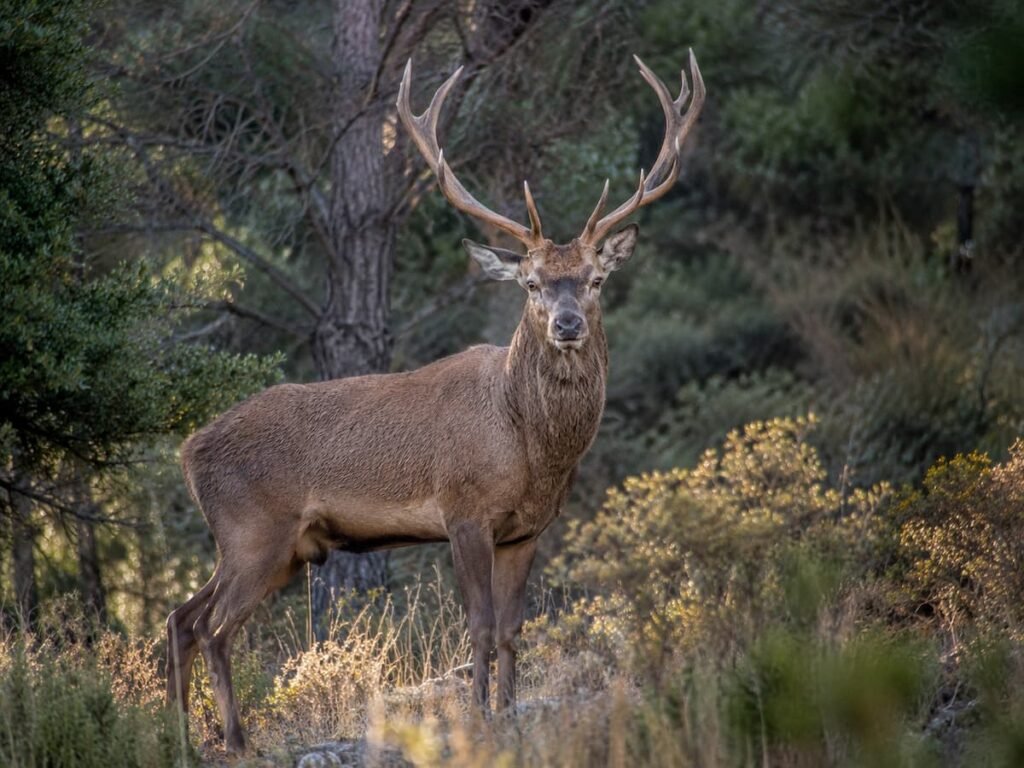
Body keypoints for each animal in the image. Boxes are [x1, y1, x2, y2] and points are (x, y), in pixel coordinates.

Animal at [166, 52, 704, 754]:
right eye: (531, 283)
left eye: (594, 280)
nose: (566, 325)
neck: (530, 443)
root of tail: (187, 450)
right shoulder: (464, 510)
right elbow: (478, 625)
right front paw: (479, 717)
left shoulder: (527, 529)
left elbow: (512, 629)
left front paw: (510, 711)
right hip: (254, 529)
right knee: (214, 626)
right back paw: (234, 739)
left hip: (264, 546)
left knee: (181, 615)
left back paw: (178, 735)